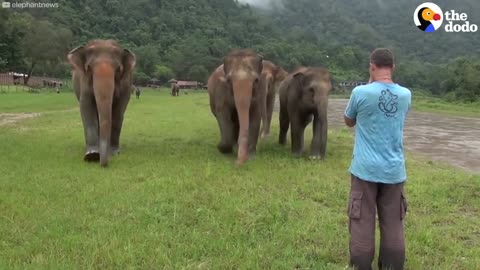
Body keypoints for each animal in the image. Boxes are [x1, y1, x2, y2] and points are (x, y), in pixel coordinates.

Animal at [67, 39, 137, 167]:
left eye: (118, 69)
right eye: (88, 67)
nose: (104, 164)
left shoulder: (126, 84)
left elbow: (118, 112)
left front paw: (113, 153)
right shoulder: (84, 81)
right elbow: (86, 107)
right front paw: (92, 155)